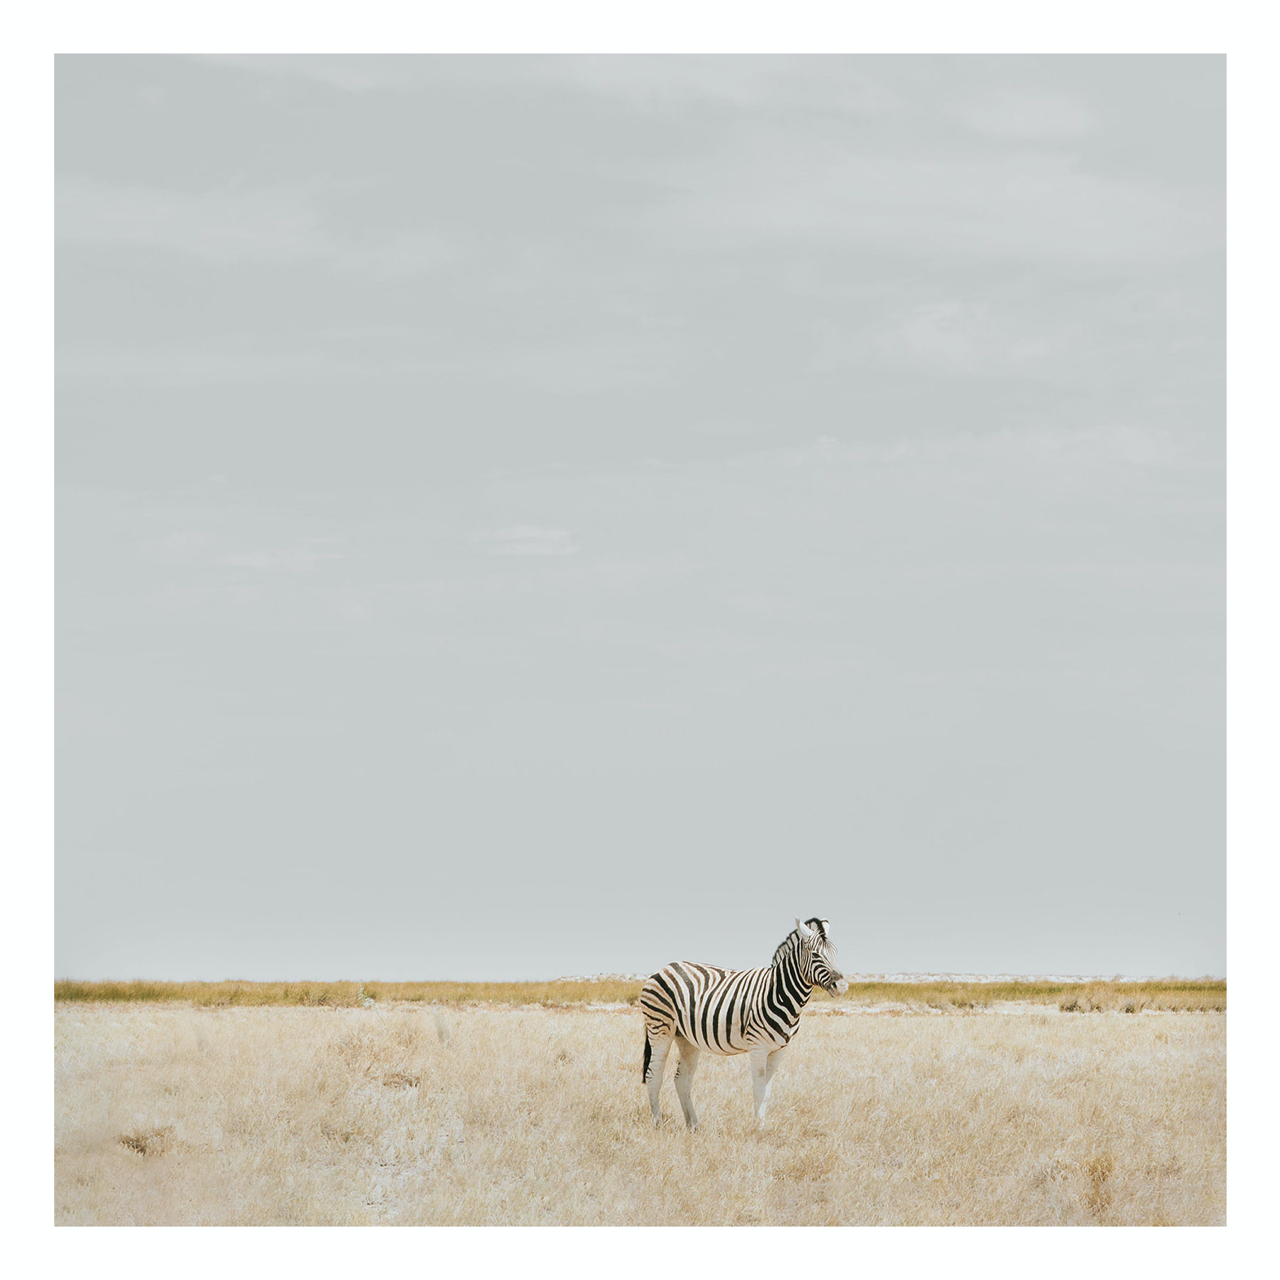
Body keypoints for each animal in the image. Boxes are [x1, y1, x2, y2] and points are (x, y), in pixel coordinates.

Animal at [640, 916, 848, 1129]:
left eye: (835, 954)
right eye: (815, 955)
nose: (842, 986)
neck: (779, 992)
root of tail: (664, 968)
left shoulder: (779, 1050)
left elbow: (767, 1090)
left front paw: (762, 1125)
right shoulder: (758, 1046)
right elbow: (759, 1089)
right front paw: (758, 1128)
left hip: (686, 1038)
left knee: (682, 1080)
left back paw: (694, 1125)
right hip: (660, 1026)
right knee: (653, 1075)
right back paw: (657, 1123)